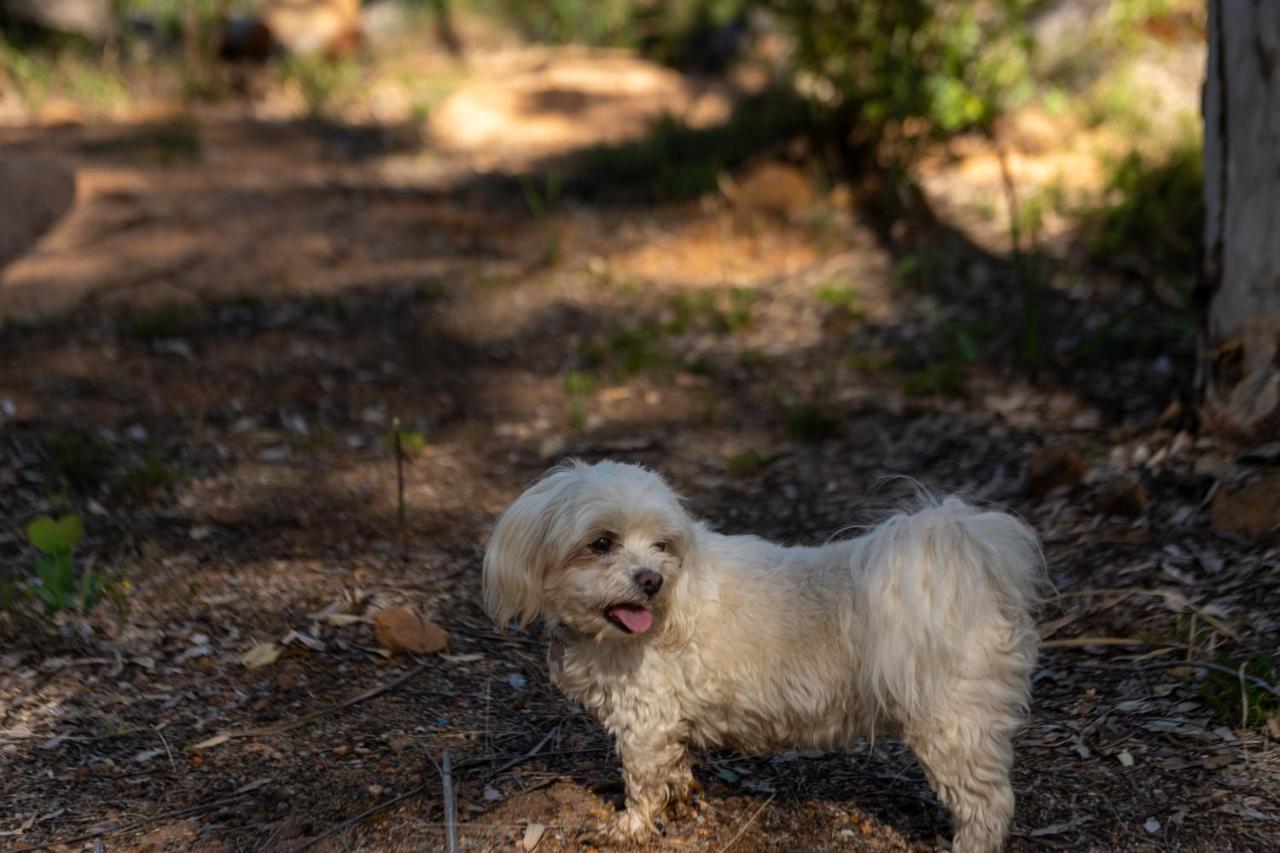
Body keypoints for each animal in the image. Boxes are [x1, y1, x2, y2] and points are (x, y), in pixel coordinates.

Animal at [481, 461, 1039, 845]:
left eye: (661, 545)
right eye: (601, 543)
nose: (651, 579)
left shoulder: (645, 721)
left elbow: (642, 781)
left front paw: (631, 827)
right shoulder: (668, 725)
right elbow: (675, 768)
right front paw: (681, 800)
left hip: (953, 728)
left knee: (988, 805)